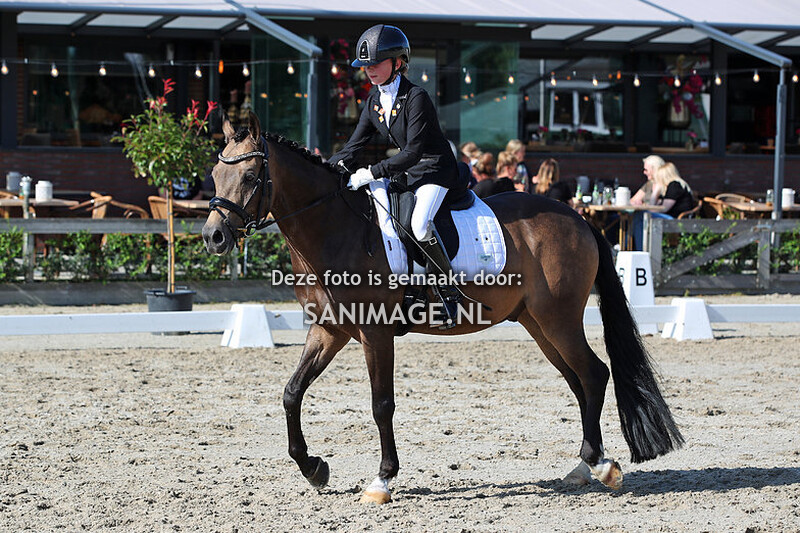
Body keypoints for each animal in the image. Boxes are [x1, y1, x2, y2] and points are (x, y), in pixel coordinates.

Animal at [202, 112, 684, 504]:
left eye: (251, 176)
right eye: (214, 173)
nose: (214, 237)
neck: (335, 227)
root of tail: (578, 217)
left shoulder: (375, 332)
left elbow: (381, 404)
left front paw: (382, 481)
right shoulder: (329, 330)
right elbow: (292, 392)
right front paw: (314, 469)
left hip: (558, 319)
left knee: (593, 373)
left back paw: (602, 466)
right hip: (537, 324)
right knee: (578, 380)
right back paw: (584, 466)